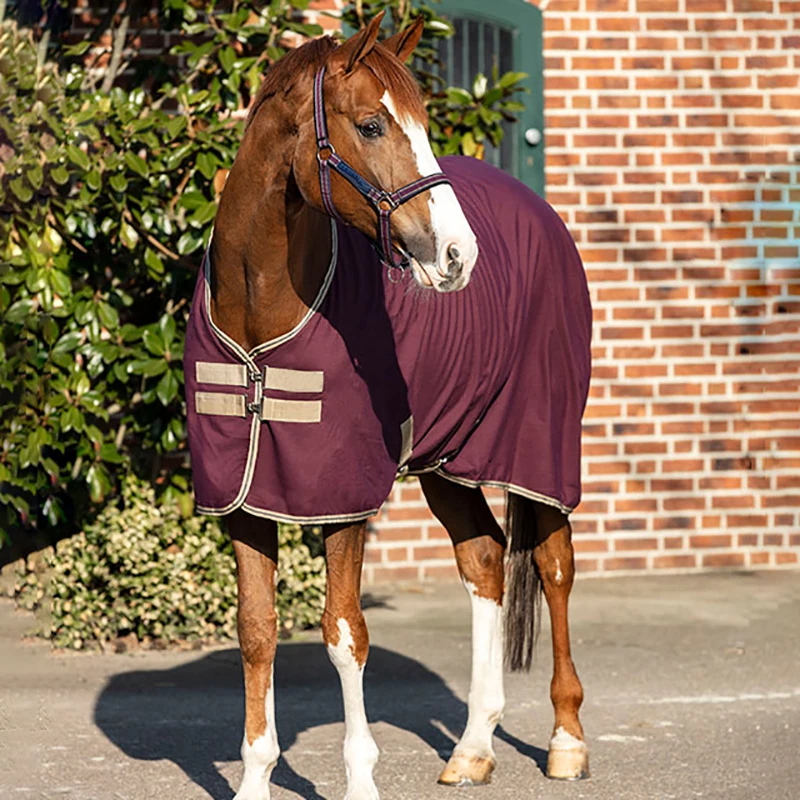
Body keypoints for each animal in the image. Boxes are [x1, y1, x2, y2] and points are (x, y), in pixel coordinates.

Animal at [183, 13, 592, 800]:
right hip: (447, 460)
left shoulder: (342, 503)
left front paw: (360, 780)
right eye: (371, 125)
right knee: (485, 562)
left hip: (540, 449)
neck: (259, 315)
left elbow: (345, 635)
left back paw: (566, 741)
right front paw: (253, 778)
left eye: (426, 123)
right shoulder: (245, 500)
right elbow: (257, 629)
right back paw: (472, 749)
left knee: (554, 567)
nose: (459, 254)